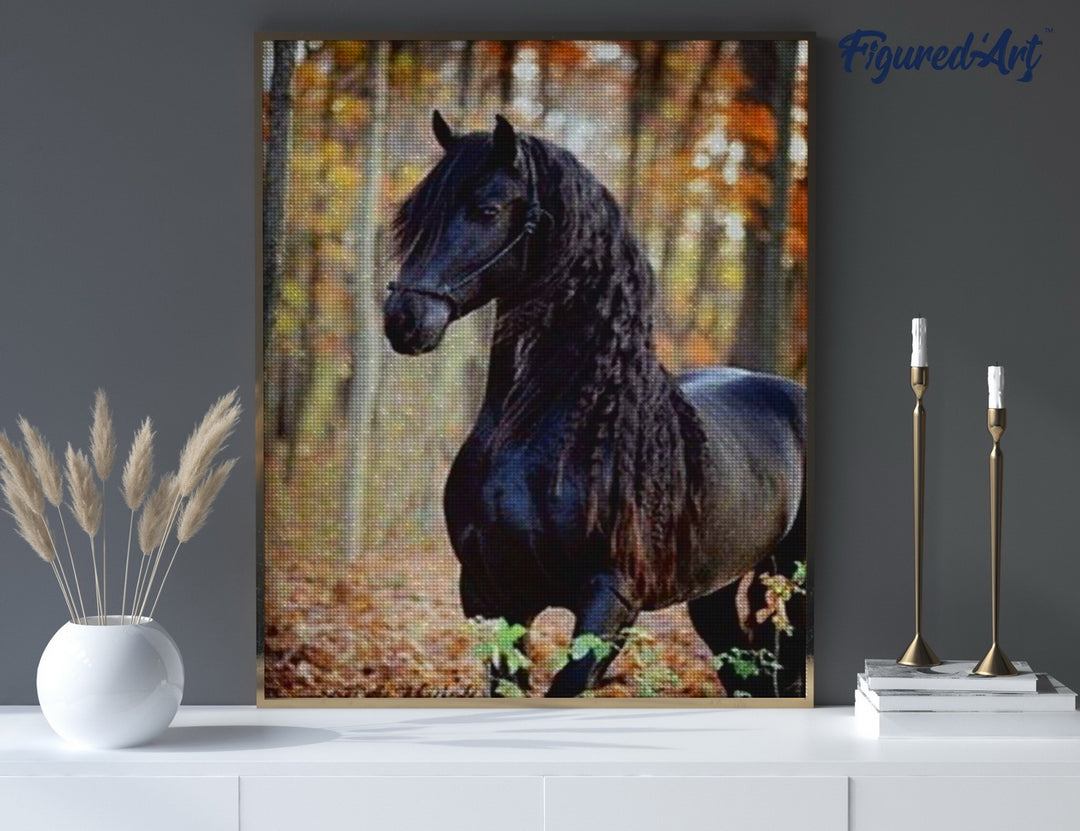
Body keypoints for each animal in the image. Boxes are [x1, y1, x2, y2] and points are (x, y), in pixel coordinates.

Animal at [384, 111, 806, 698]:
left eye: (486, 210)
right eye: (416, 214)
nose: (402, 319)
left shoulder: (611, 601)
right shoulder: (491, 596)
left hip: (793, 577)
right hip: (714, 593)